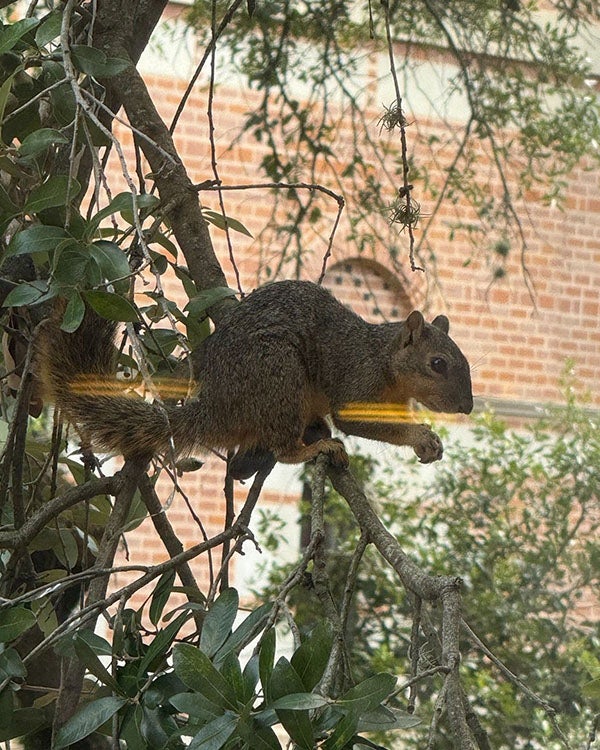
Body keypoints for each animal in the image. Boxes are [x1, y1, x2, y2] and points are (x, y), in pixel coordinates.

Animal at [40, 280, 473, 477]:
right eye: (437, 363)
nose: (467, 407)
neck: (385, 362)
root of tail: (217, 406)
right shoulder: (357, 379)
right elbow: (356, 421)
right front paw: (422, 437)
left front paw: (428, 442)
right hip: (278, 372)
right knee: (282, 447)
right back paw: (313, 447)